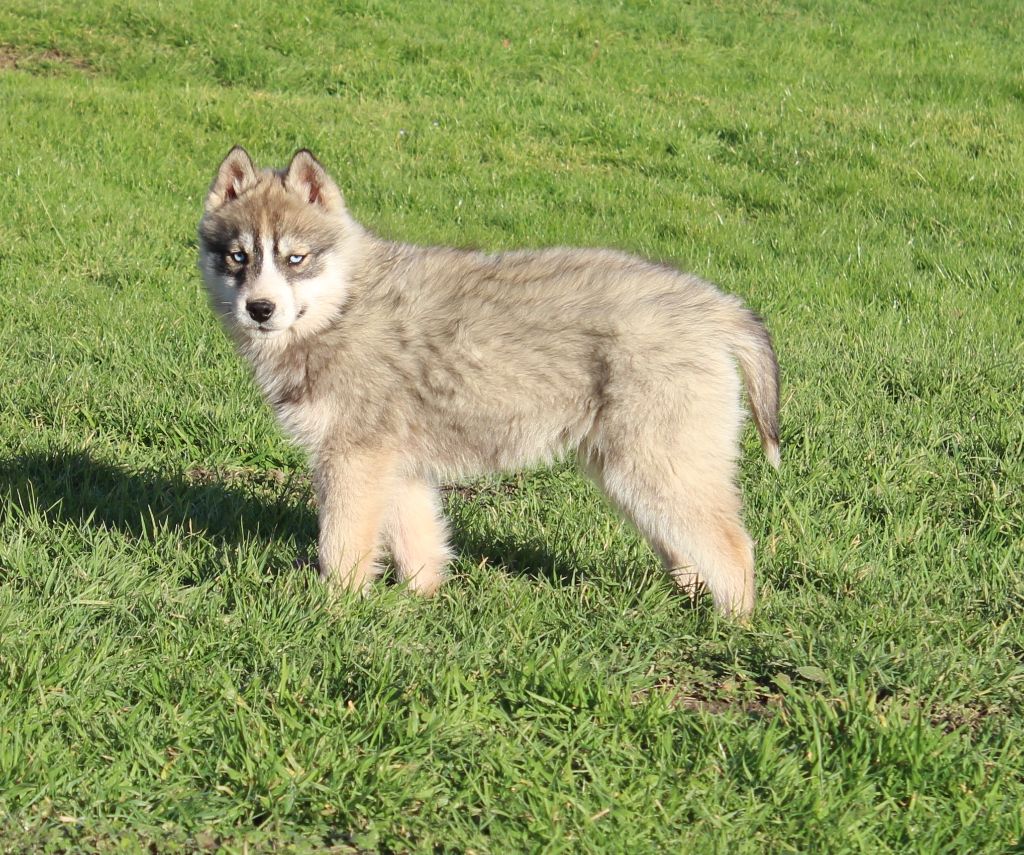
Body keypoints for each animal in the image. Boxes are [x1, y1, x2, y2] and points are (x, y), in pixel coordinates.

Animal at [197, 147, 779, 617]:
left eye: (296, 259)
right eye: (238, 257)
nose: (260, 309)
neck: (342, 307)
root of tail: (712, 304)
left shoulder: (352, 460)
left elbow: (341, 548)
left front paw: (333, 610)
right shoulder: (396, 467)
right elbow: (419, 543)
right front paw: (422, 602)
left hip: (655, 464)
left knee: (734, 547)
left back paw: (732, 626)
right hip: (635, 472)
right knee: (689, 548)